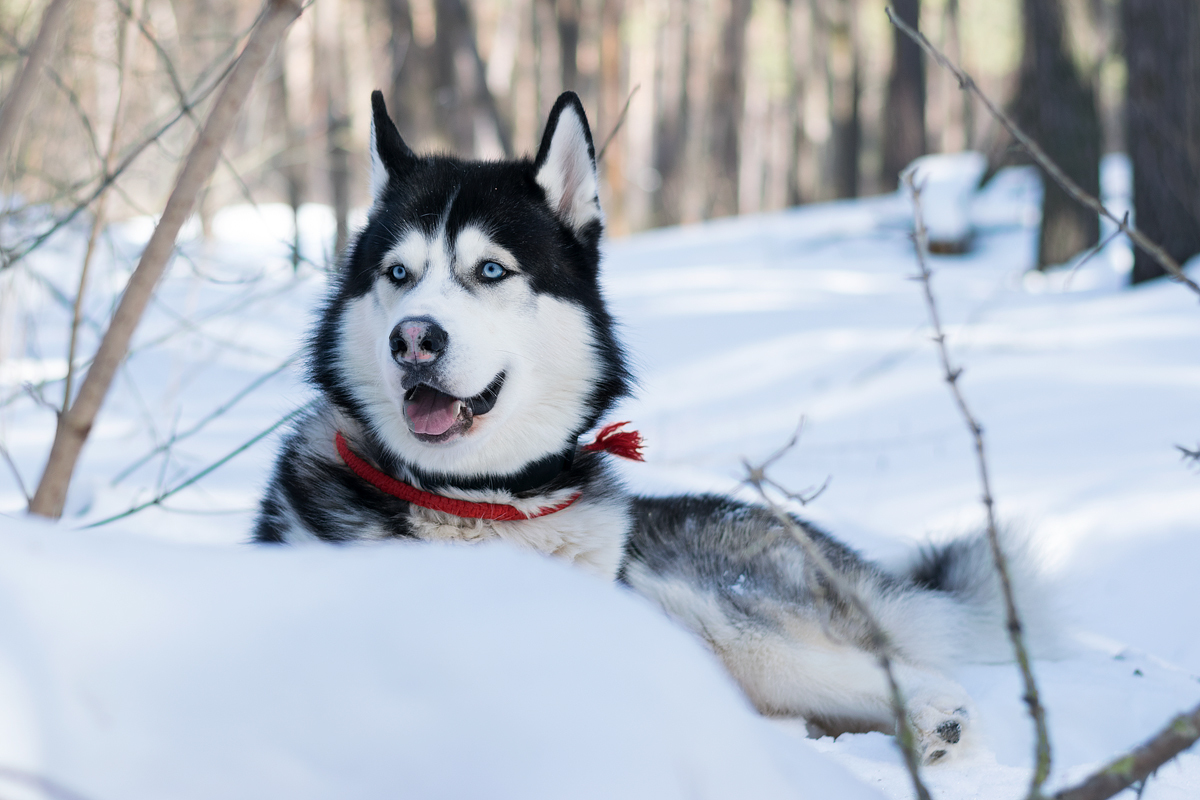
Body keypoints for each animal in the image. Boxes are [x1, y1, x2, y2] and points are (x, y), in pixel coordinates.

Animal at [260, 90, 1041, 767]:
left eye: (490, 270)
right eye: (398, 274)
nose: (414, 339)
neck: (477, 502)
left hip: (714, 613)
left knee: (904, 674)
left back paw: (933, 723)